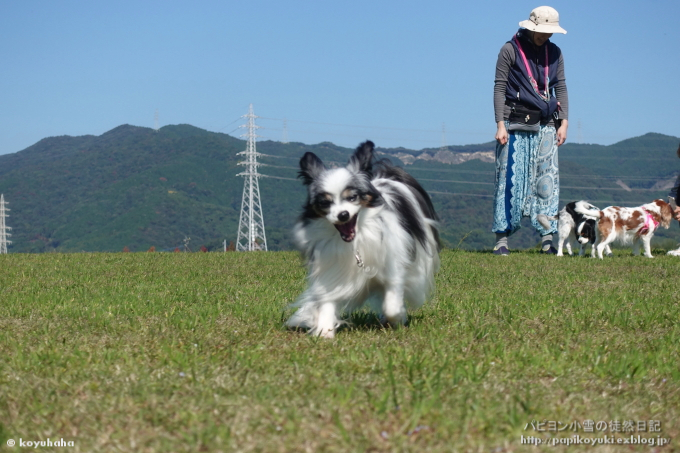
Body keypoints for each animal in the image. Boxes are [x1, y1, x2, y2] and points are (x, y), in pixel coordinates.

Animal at [286, 140, 440, 336]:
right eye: (325, 203)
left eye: (353, 197)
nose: (343, 214)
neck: (355, 242)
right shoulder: (331, 269)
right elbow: (327, 298)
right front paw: (324, 329)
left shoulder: (394, 267)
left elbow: (392, 304)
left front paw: (398, 318)